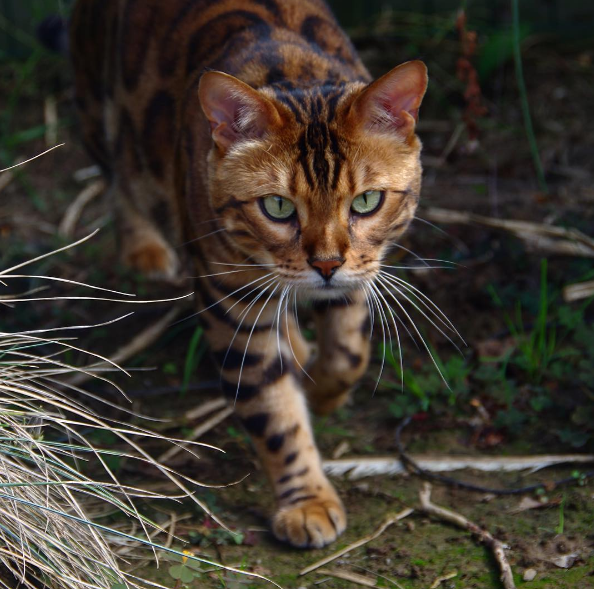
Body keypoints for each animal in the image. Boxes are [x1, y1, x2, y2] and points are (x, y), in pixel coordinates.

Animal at [70, 0, 426, 548]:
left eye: (367, 201)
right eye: (277, 207)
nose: (326, 264)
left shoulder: (359, 272)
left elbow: (349, 352)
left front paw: (322, 391)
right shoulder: (230, 303)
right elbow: (274, 412)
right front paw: (307, 501)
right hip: (98, 106)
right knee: (118, 176)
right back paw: (143, 249)